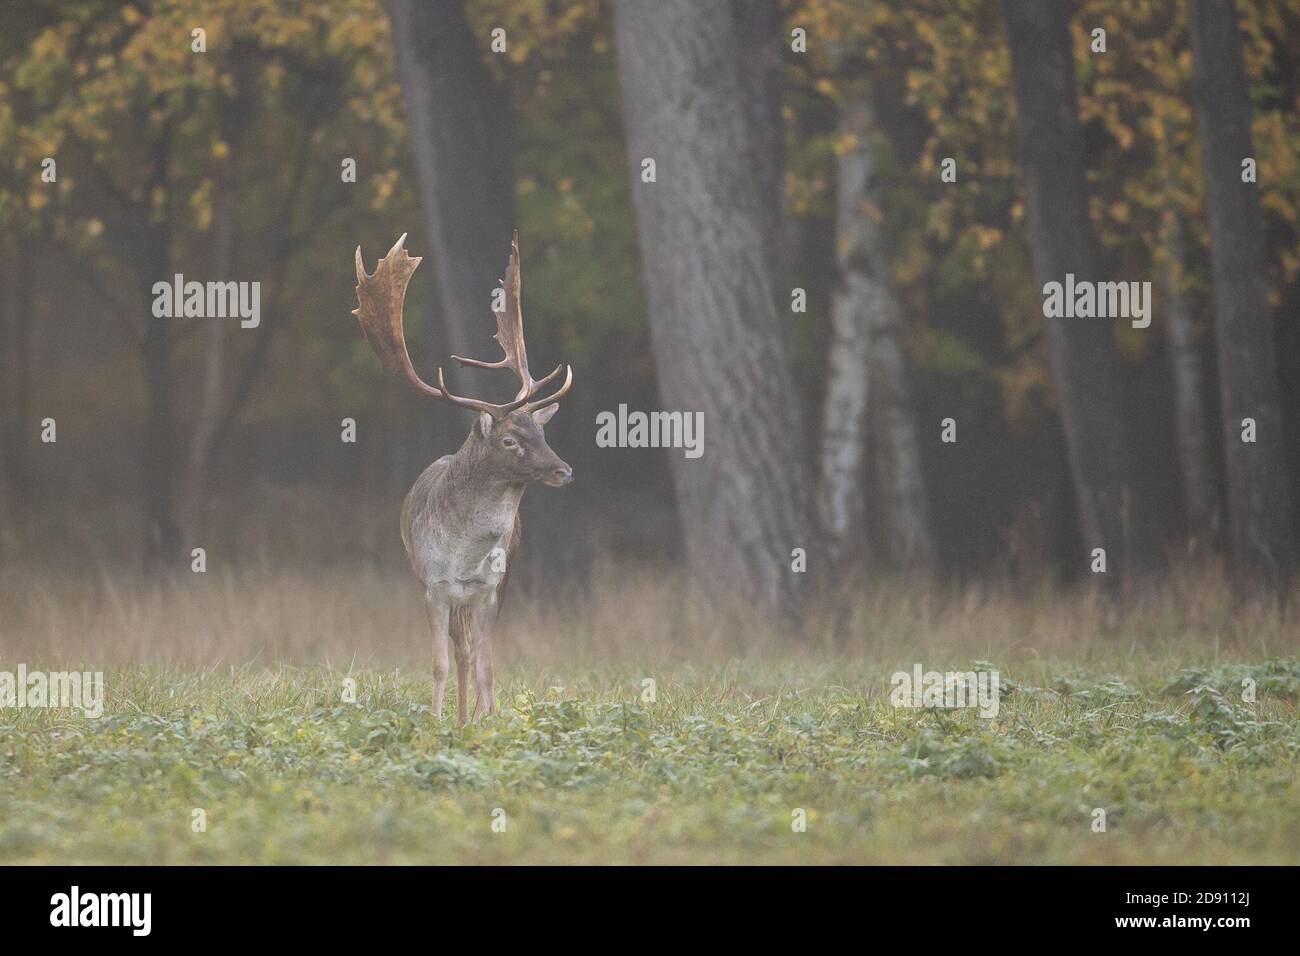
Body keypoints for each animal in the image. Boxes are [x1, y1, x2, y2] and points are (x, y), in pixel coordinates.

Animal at [352, 232, 573, 723]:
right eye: (510, 439)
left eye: (542, 432)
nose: (564, 469)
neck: (465, 556)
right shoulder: (433, 587)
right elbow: (438, 662)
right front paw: (437, 722)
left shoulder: (489, 589)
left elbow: (487, 663)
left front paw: (488, 721)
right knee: (459, 650)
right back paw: (458, 716)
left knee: (471, 652)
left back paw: (469, 716)